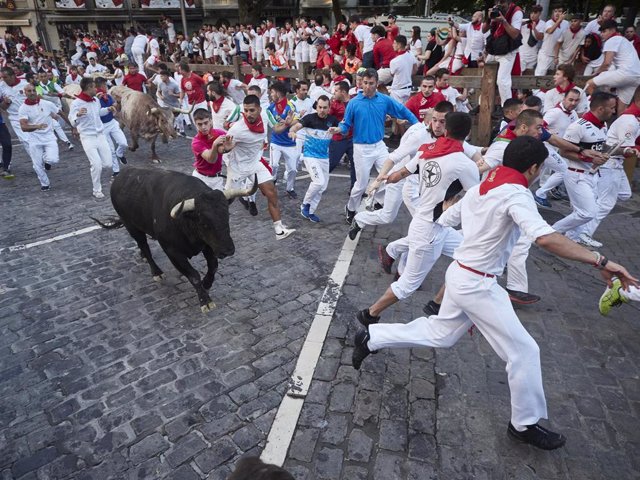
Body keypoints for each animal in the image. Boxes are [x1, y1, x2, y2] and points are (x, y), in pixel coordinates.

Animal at [92, 167, 258, 314]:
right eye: (204, 223)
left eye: (227, 216)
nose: (228, 250)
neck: (185, 222)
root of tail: (122, 175)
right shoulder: (172, 252)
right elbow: (193, 275)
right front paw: (205, 301)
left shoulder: (208, 245)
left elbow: (213, 266)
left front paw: (206, 283)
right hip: (131, 226)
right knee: (144, 245)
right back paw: (156, 271)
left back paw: (143, 257)